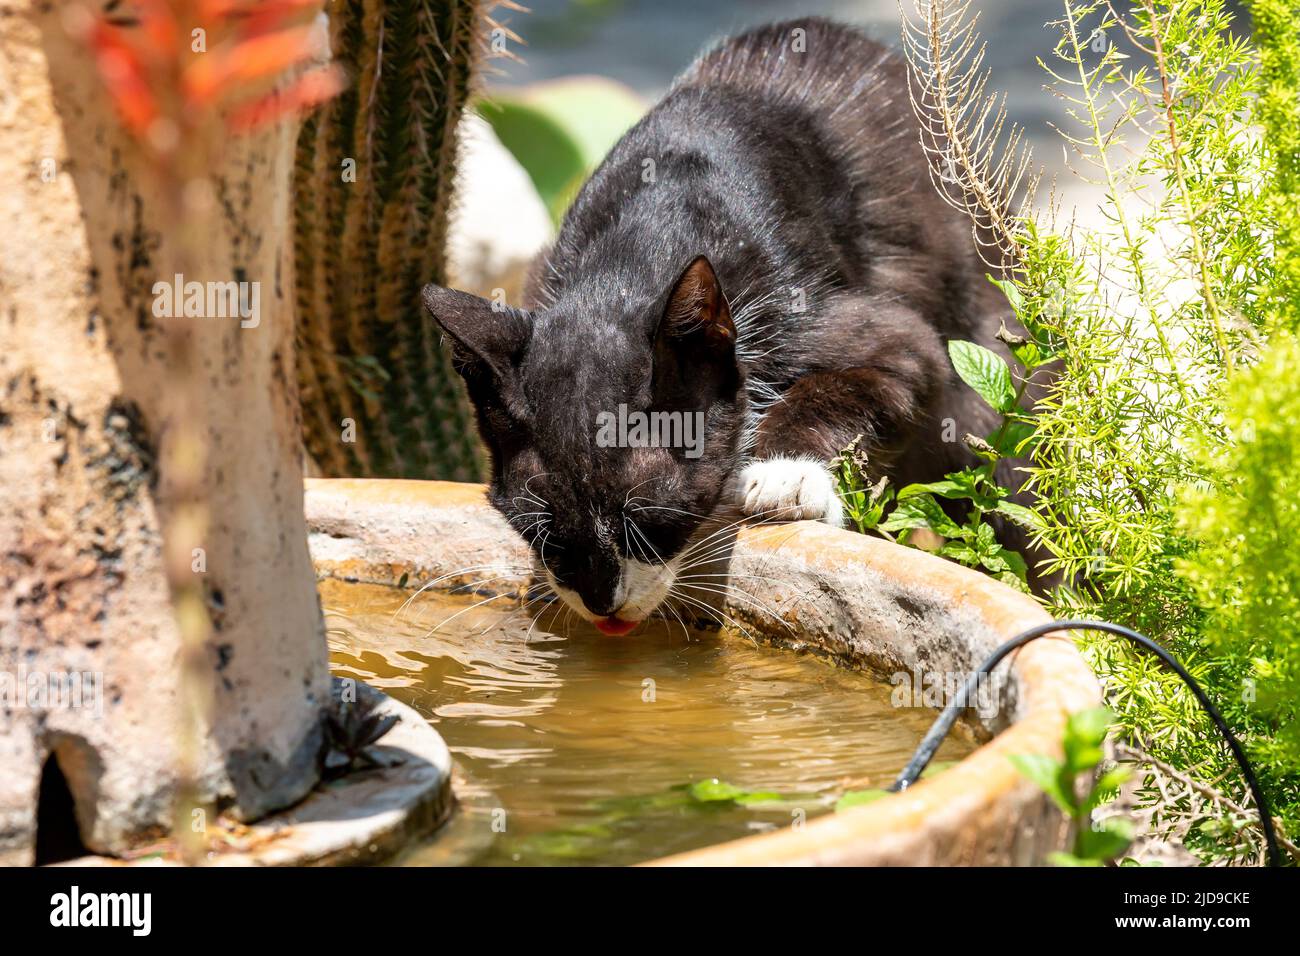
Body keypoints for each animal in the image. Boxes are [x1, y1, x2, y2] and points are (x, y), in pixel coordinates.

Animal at [423, 16, 1034, 634]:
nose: (601, 602)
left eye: (650, 523)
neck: (632, 258)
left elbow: (870, 373)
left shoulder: (870, 327)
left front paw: (788, 476)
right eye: (543, 536)